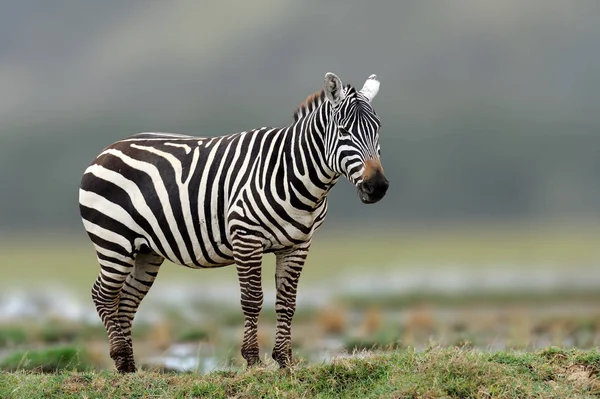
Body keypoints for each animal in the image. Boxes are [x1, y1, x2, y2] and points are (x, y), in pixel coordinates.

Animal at [78, 71, 390, 372]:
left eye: (378, 130)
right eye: (344, 131)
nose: (377, 187)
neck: (294, 174)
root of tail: (108, 149)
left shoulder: (298, 244)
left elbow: (287, 303)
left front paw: (285, 360)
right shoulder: (246, 238)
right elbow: (252, 300)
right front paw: (252, 360)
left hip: (146, 250)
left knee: (127, 300)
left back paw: (130, 368)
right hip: (114, 242)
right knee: (103, 295)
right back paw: (120, 358)